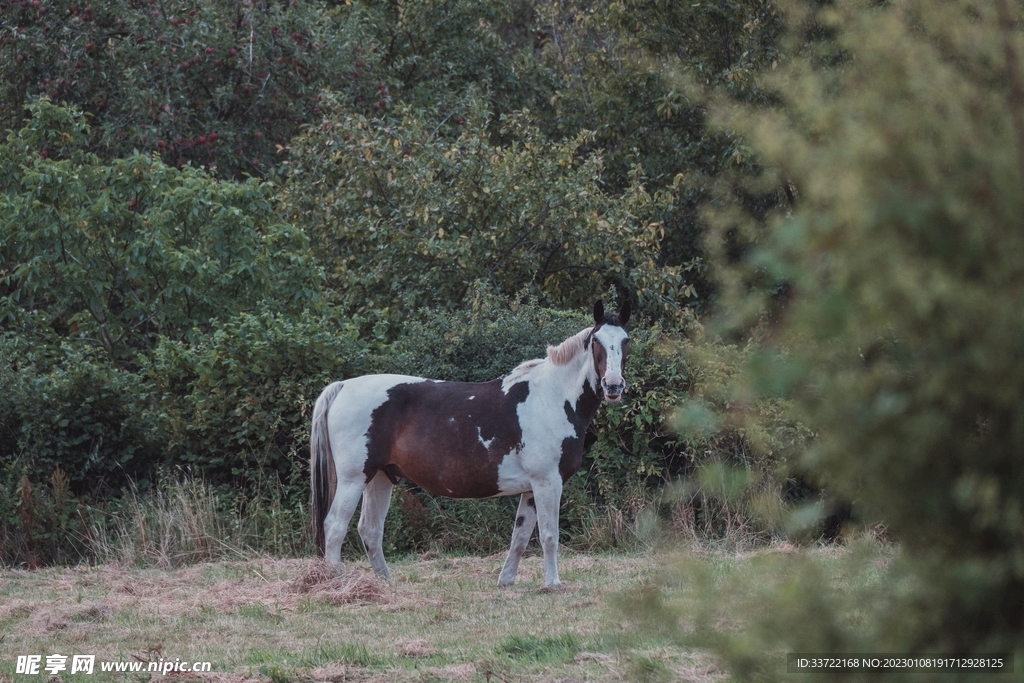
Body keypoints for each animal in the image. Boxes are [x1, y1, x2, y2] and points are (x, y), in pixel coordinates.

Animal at [310, 300, 631, 588]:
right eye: (597, 342)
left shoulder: (531, 488)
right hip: (354, 478)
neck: (551, 396)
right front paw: (552, 584)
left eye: (626, 341)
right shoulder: (547, 482)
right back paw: (337, 584)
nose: (614, 386)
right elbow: (549, 536)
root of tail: (343, 386)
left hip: (380, 477)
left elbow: (520, 536)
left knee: (370, 530)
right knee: (335, 526)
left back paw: (385, 586)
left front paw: (506, 581)